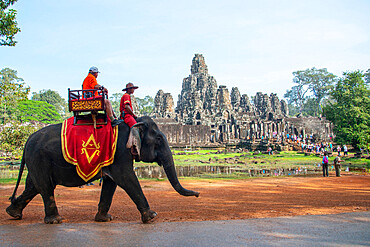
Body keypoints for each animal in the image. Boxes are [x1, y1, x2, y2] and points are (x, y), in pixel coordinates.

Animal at [5, 116, 198, 224]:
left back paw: (13, 213)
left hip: (35, 162)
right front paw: (151, 216)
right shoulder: (120, 152)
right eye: (158, 139)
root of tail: (27, 140)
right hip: (39, 159)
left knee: (33, 186)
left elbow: (111, 183)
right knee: (45, 187)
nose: (197, 194)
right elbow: (126, 178)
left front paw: (104, 219)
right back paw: (55, 221)